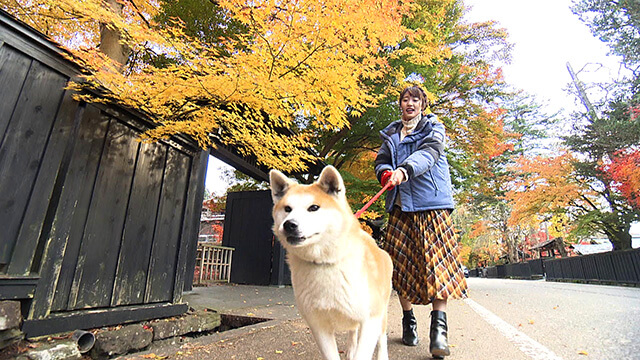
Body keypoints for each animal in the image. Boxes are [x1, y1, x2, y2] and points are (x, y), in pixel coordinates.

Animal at [268, 166, 392, 360]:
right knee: (353, 331)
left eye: (314, 207)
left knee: (382, 337)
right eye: (287, 208)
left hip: (381, 311)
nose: (289, 224)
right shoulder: (318, 326)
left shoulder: (371, 318)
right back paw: (350, 348)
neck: (324, 263)